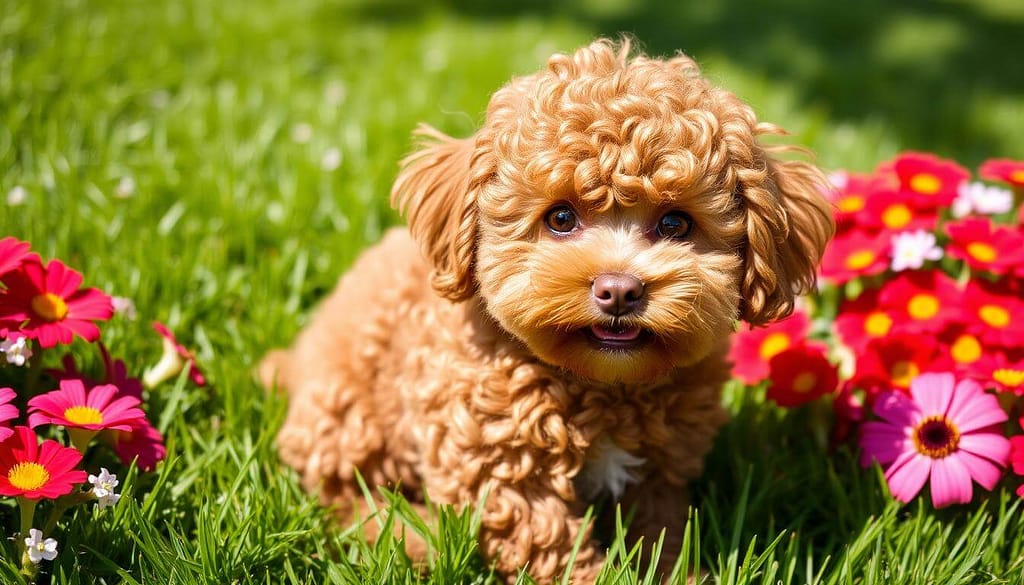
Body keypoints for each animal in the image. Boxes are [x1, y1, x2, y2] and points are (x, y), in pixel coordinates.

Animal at [260, 37, 835, 585]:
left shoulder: (661, 465)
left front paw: (676, 573)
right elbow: (546, 541)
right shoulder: (501, 461)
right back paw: (409, 535)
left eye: (676, 224)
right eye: (560, 218)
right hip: (347, 414)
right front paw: (598, 578)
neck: (603, 386)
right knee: (340, 493)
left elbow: (661, 528)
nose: (619, 290)